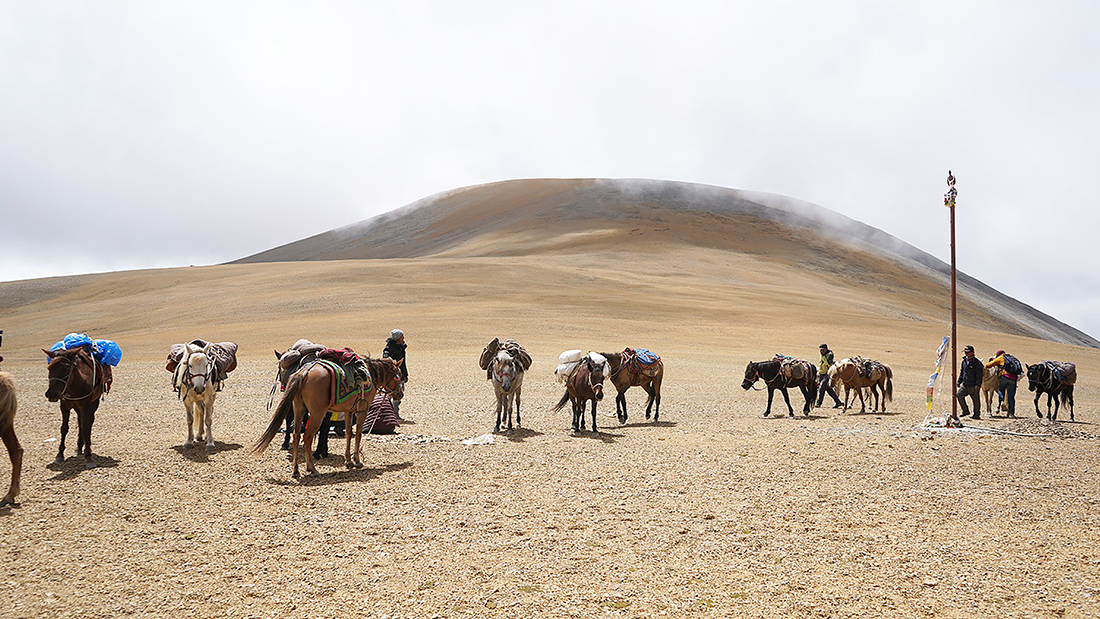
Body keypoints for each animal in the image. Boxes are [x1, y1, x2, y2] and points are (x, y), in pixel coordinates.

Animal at [251, 354, 402, 479]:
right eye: (398, 375)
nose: (400, 394)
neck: (370, 373)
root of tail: (303, 372)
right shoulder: (362, 410)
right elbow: (358, 434)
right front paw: (357, 461)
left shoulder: (349, 411)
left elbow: (348, 434)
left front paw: (348, 461)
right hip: (317, 414)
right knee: (307, 437)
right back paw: (312, 469)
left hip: (299, 409)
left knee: (296, 435)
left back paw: (296, 470)